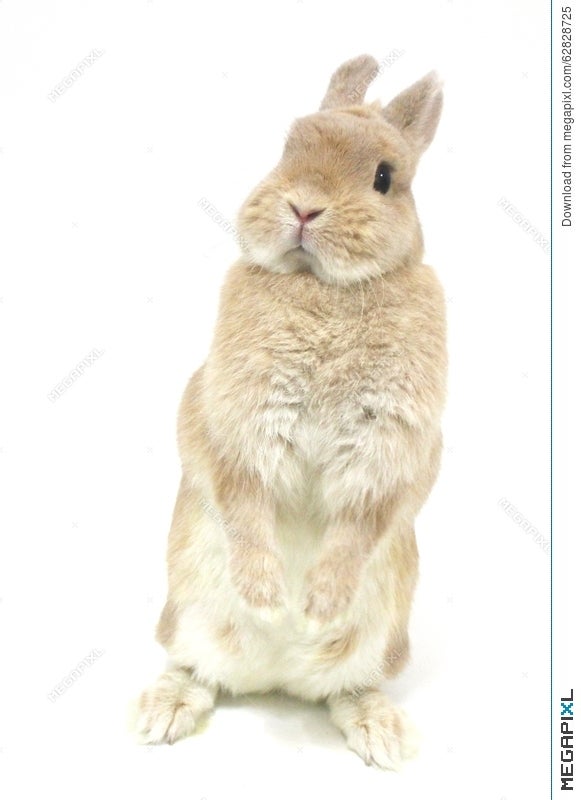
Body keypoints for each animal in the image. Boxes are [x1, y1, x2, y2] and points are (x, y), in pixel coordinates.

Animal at [137, 54, 447, 770]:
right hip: (187, 613)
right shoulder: (235, 426)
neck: (321, 286)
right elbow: (245, 504)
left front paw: (316, 606)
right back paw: (165, 712)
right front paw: (268, 598)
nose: (303, 206)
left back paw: (380, 732)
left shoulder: (391, 451)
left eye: (385, 177)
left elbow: (359, 524)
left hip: (381, 639)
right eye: (287, 151)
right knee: (197, 668)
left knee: (348, 686)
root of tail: (274, 680)